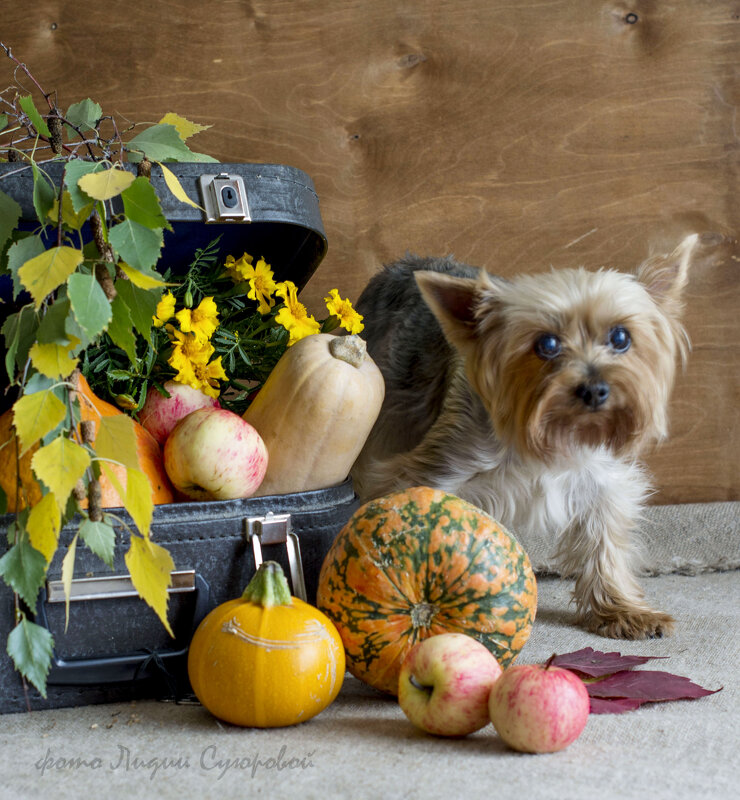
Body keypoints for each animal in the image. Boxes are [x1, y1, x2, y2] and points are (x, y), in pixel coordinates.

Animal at [352, 234, 700, 640]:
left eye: (620, 337)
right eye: (547, 345)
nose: (595, 390)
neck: (550, 431)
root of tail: (399, 264)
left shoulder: (601, 477)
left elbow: (604, 540)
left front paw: (621, 609)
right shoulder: (439, 464)